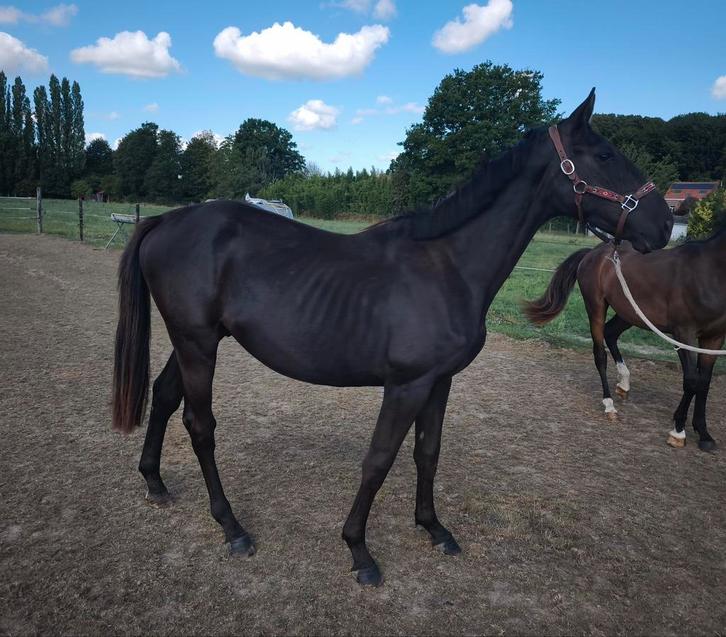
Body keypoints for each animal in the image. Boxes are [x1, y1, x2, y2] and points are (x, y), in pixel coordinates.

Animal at [111, 90, 673, 586]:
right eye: (604, 155)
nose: (665, 224)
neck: (449, 267)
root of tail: (168, 220)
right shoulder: (406, 385)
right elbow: (379, 459)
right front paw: (359, 552)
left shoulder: (440, 382)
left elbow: (428, 452)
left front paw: (434, 529)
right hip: (197, 344)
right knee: (200, 425)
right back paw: (231, 527)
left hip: (197, 342)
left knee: (163, 396)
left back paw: (155, 483)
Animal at [524, 230, 726, 452]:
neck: (708, 270)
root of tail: (593, 252)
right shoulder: (683, 334)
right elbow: (691, 381)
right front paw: (678, 431)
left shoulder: (714, 338)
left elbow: (704, 382)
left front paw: (704, 434)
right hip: (596, 307)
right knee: (600, 354)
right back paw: (609, 404)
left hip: (629, 313)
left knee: (611, 333)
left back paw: (624, 382)